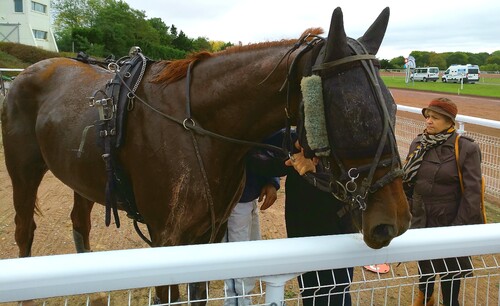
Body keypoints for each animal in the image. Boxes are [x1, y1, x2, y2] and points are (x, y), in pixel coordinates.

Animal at [0, 7, 410, 304]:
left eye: (392, 108)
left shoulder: (208, 234)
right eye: (353, 113)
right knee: (24, 228)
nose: (395, 221)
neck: (197, 125)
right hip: (22, 169)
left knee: (79, 221)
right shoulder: (167, 238)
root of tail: (28, 71)